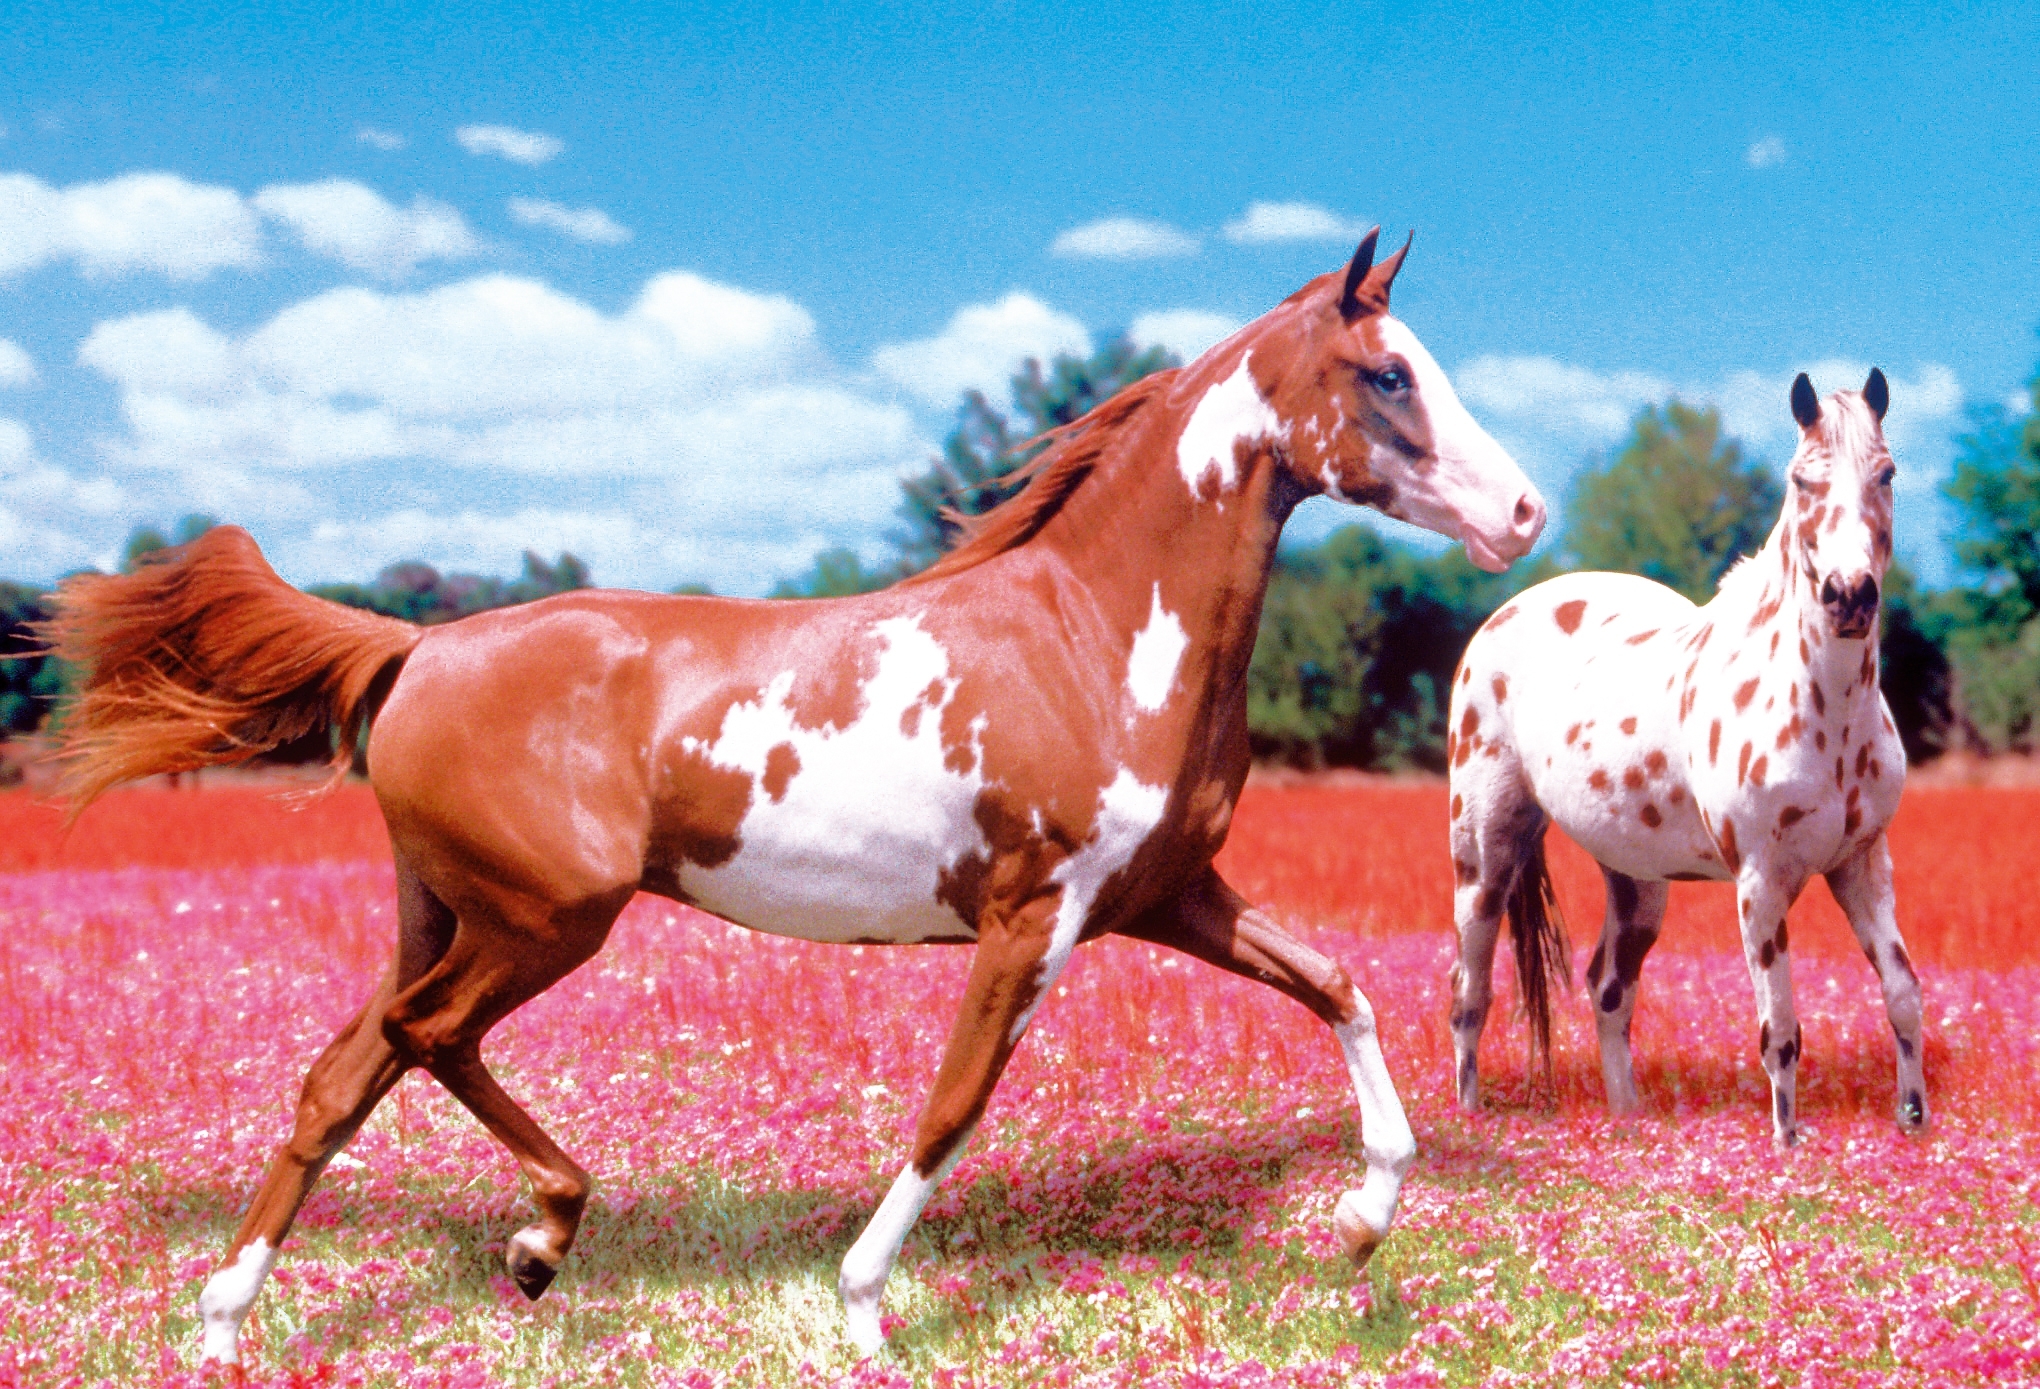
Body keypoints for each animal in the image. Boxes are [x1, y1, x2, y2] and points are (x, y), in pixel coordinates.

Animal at [48, 229, 1546, 1365]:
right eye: (1389, 373)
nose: (1525, 513)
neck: (1094, 633)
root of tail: (417, 647)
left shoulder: (1168, 894)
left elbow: (1338, 988)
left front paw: (1360, 1221)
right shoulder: (1033, 920)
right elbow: (953, 1107)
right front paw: (866, 1309)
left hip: (456, 913)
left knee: (351, 1068)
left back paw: (323, 1297)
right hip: (544, 918)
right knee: (415, 1041)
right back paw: (469, 1252)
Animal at [1443, 369, 1923, 1147]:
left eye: (1887, 473)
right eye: (1802, 479)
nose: (1849, 596)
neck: (1824, 710)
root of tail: (1504, 615)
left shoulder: (1862, 864)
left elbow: (1903, 993)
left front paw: (1915, 1125)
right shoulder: (1760, 882)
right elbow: (1780, 1031)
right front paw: (1787, 1148)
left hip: (1637, 880)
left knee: (1608, 990)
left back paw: (1626, 1121)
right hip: (1484, 854)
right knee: (1470, 993)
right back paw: (1469, 1119)